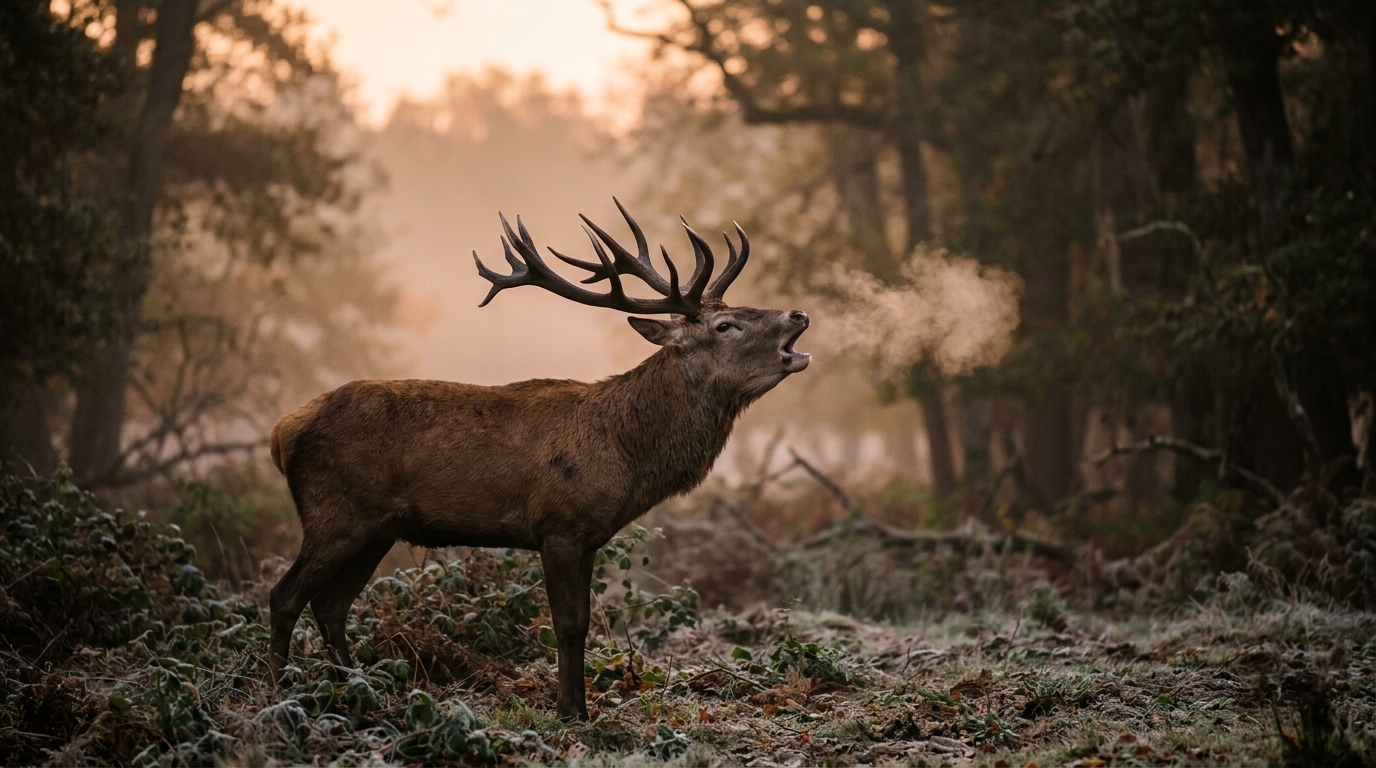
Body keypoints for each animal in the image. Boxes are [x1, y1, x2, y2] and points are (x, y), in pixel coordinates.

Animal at [266, 199, 810, 720]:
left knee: (331, 606)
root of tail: (282, 431)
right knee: (285, 596)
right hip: (334, 514)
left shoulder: (590, 536)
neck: (626, 455)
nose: (798, 315)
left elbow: (584, 623)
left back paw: (355, 689)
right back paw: (281, 691)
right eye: (725, 325)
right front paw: (569, 711)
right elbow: (567, 623)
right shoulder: (557, 524)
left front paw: (581, 707)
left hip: (376, 529)